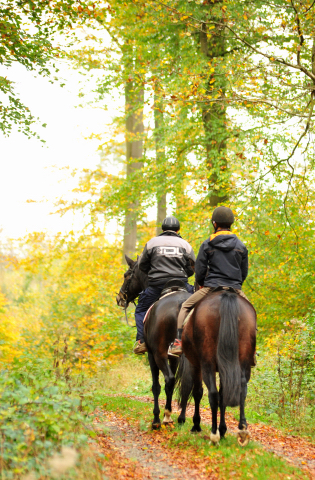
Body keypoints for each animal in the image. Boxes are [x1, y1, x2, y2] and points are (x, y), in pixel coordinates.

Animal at [116, 255, 193, 428]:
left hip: (159, 353)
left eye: (126, 275)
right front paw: (168, 416)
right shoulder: (173, 357)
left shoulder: (152, 354)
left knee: (169, 380)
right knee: (190, 383)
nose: (119, 298)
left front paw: (158, 418)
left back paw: (161, 419)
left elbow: (156, 386)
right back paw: (181, 419)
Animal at [177, 284, 258, 446]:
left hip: (206, 363)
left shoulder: (195, 364)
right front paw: (223, 429)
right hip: (243, 362)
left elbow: (195, 391)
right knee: (241, 389)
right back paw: (242, 430)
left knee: (212, 394)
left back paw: (214, 435)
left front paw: (194, 424)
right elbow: (223, 395)